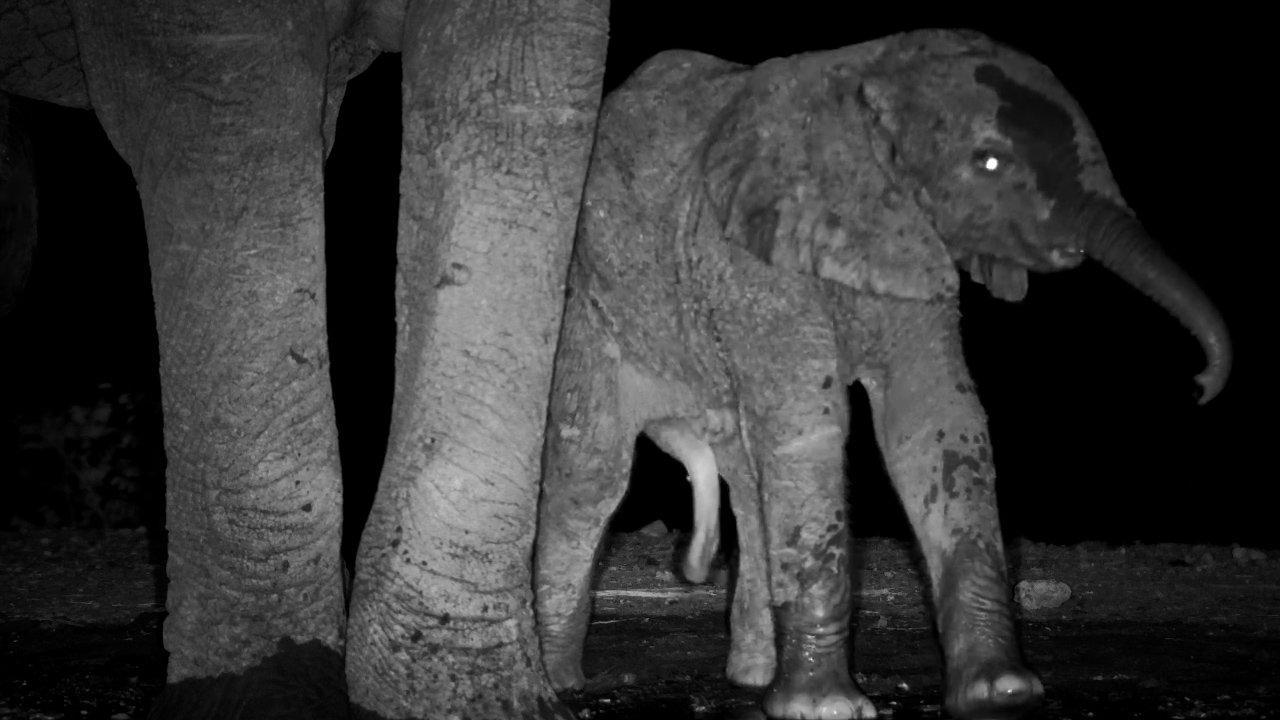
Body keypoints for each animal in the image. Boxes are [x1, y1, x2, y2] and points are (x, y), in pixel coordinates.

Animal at [533, 29, 1230, 720]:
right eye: (989, 164)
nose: (1200, 383)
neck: (866, 73)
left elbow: (933, 420)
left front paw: (1001, 691)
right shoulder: (748, 260)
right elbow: (810, 427)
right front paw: (826, 709)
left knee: (746, 478)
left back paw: (753, 679)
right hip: (588, 304)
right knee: (593, 472)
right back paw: (562, 680)